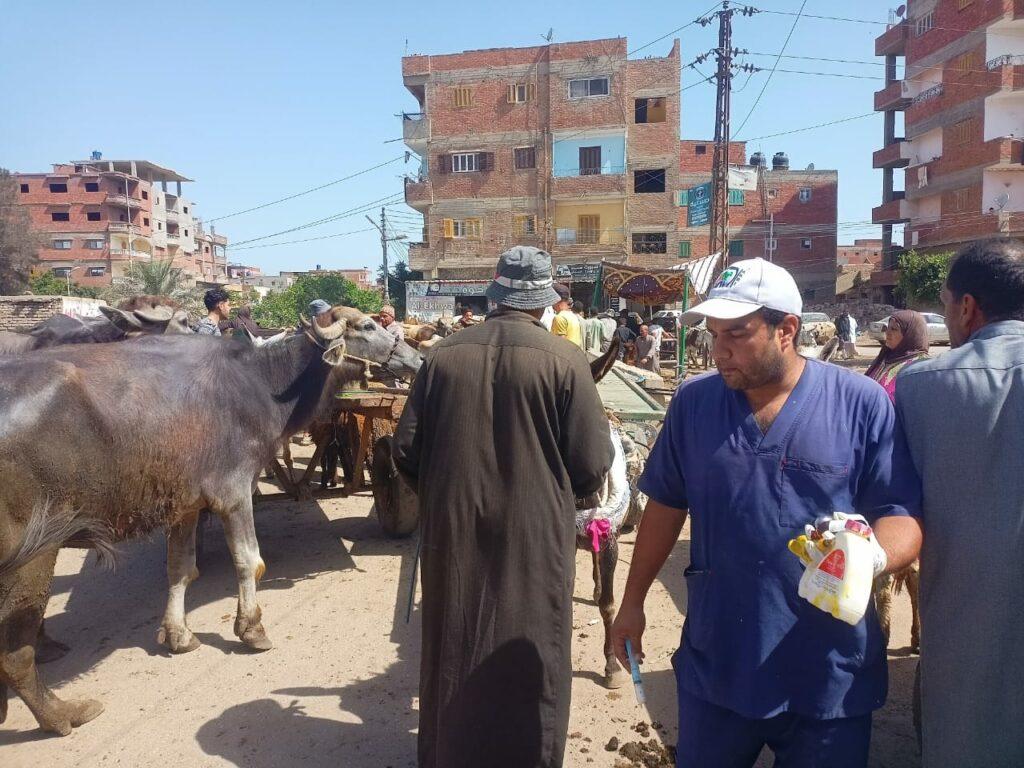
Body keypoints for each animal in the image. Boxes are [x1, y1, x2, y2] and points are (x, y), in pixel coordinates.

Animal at [0, 303, 419, 737]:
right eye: (367, 326)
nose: (417, 358)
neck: (260, 382)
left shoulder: (185, 505)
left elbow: (181, 569)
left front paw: (178, 634)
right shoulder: (233, 492)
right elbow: (250, 562)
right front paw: (251, 629)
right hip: (36, 551)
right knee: (13, 654)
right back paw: (63, 713)